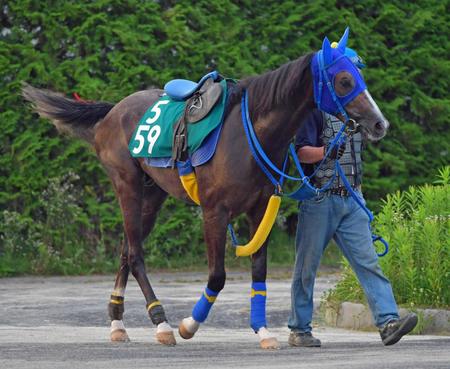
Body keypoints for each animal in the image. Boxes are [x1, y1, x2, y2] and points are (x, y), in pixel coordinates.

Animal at [22, 34, 386, 348]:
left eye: (359, 74)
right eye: (344, 80)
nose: (380, 123)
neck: (249, 133)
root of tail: (113, 111)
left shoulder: (260, 210)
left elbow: (259, 270)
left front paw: (263, 331)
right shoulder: (214, 212)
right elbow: (217, 276)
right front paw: (189, 325)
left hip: (153, 195)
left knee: (126, 250)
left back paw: (117, 323)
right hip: (127, 185)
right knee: (135, 255)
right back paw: (161, 322)